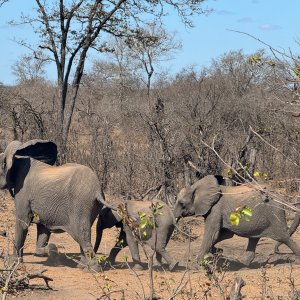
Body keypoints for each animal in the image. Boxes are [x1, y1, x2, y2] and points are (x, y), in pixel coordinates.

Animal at [0, 139, 104, 270]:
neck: (16, 159)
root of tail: (98, 191)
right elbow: (43, 228)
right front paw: (49, 251)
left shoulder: (23, 193)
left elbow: (22, 223)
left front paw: (13, 263)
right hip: (92, 207)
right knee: (84, 235)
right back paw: (82, 266)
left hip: (81, 205)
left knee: (82, 234)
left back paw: (91, 270)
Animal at [172, 175, 300, 266]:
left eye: (182, 204)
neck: (196, 186)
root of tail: (280, 197)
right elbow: (224, 234)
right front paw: (216, 251)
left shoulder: (216, 208)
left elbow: (212, 234)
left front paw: (197, 263)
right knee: (254, 238)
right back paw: (243, 264)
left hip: (274, 213)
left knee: (283, 236)